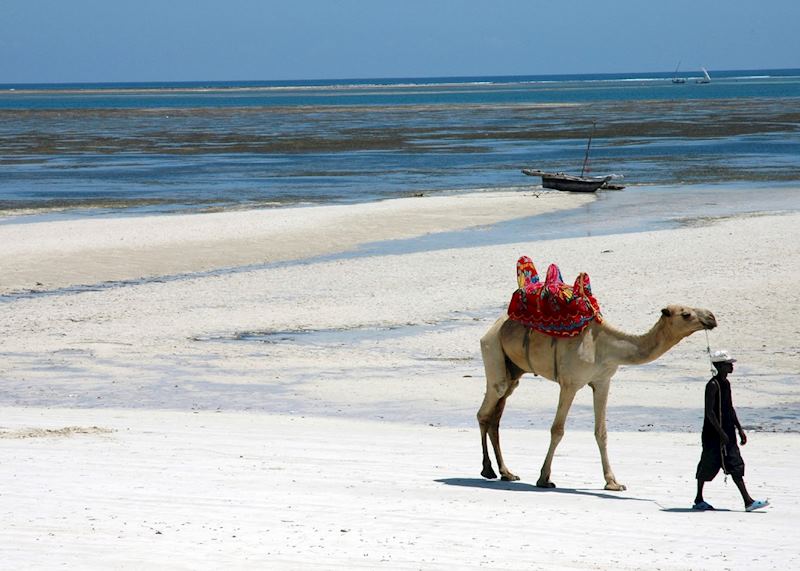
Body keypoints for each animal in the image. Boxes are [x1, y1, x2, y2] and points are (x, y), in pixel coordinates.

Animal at [478, 304, 717, 490]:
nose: (712, 317)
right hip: (493, 350)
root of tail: (492, 327)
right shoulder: (570, 384)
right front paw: (544, 479)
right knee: (486, 409)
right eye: (686, 314)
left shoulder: (603, 382)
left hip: (514, 371)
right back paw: (488, 470)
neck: (606, 347)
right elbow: (557, 430)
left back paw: (506, 472)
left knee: (496, 416)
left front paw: (613, 482)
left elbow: (601, 432)